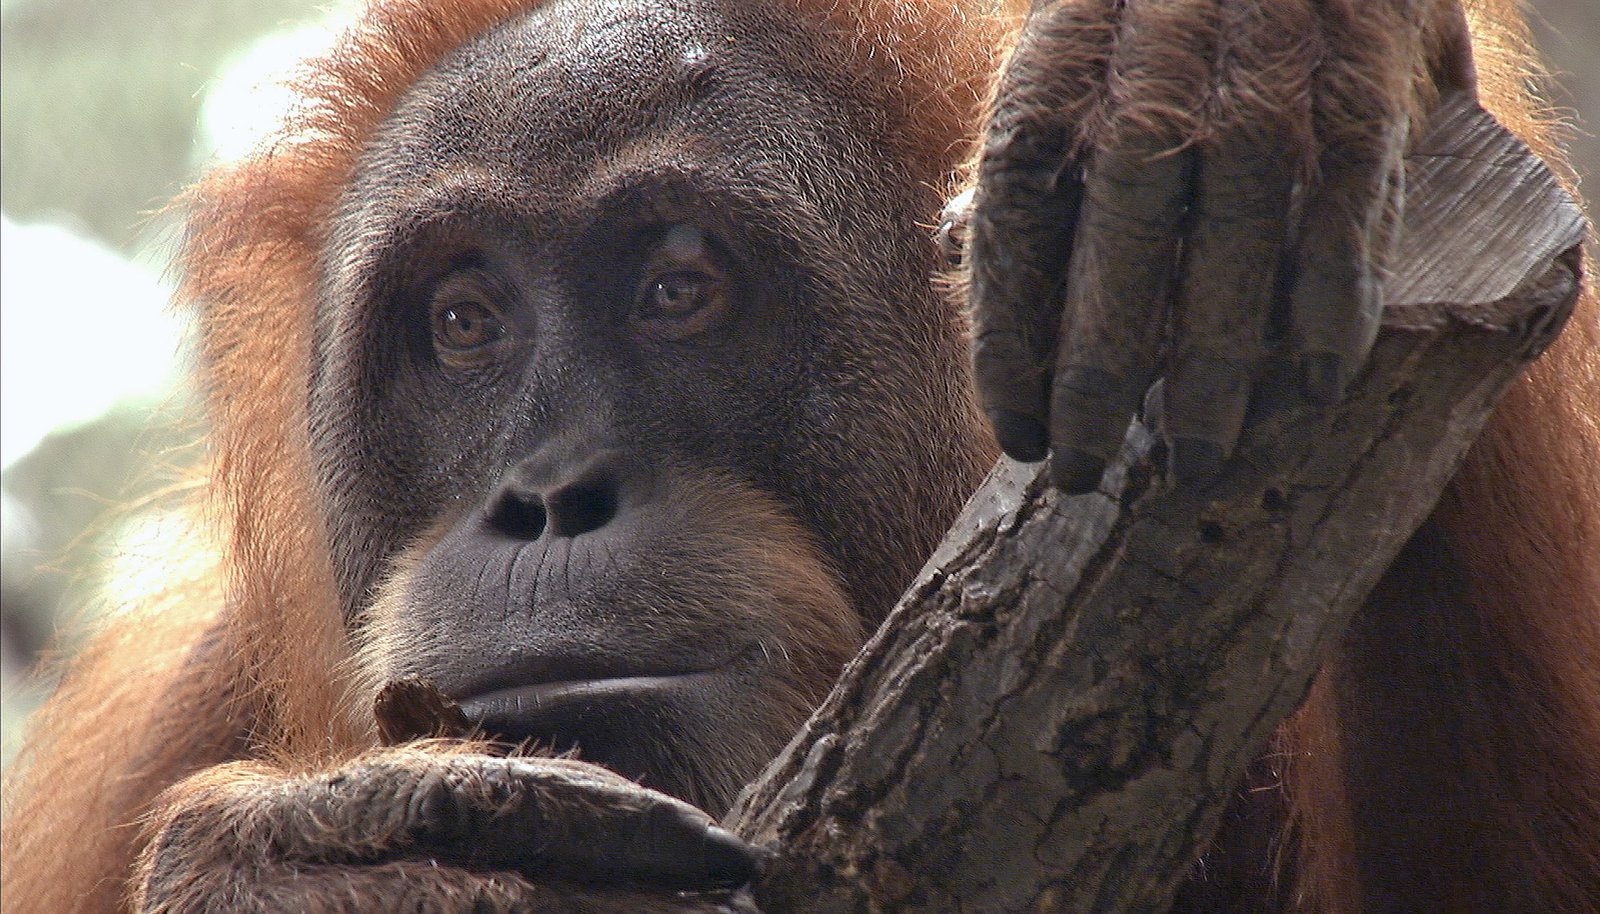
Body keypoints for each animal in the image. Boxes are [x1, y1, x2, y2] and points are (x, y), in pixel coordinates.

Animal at [2, 0, 1596, 912]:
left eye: (679, 286)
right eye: (464, 323)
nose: (547, 499)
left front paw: (1264, 59)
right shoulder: (169, 715)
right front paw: (330, 875)